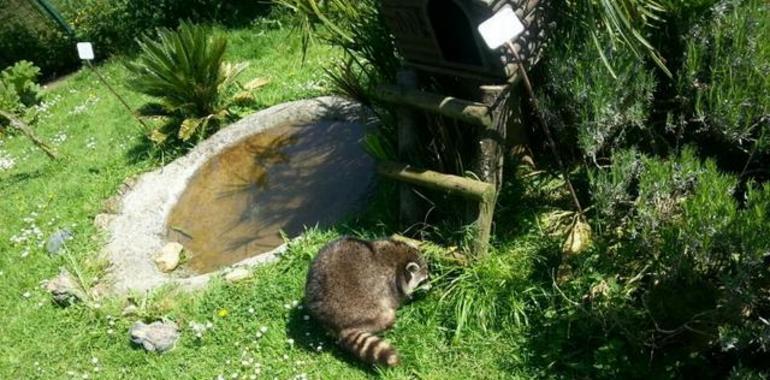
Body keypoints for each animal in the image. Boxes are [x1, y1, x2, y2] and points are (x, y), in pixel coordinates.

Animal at [304, 236, 428, 366]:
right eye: (424, 280)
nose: (430, 288)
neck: (398, 256)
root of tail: (339, 325)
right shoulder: (390, 285)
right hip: (369, 312)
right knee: (387, 316)